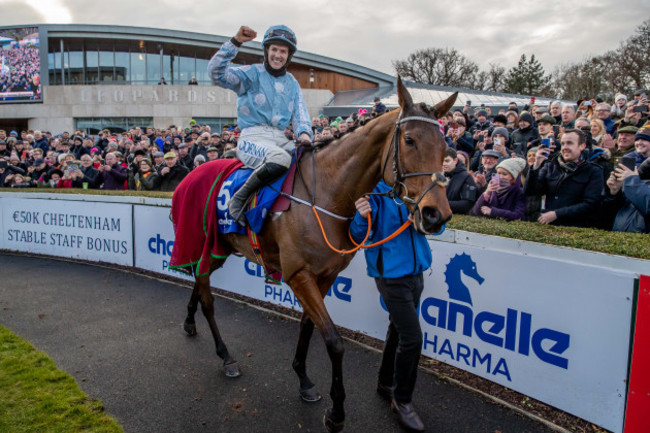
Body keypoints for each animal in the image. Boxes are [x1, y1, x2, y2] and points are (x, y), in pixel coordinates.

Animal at [178, 78, 456, 432]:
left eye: (445, 147)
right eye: (409, 140)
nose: (436, 215)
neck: (323, 195)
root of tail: (192, 172)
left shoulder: (325, 276)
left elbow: (309, 326)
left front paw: (304, 379)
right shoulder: (299, 275)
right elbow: (334, 341)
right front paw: (336, 412)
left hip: (219, 249)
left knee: (198, 281)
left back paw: (189, 321)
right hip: (211, 246)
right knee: (208, 297)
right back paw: (226, 356)